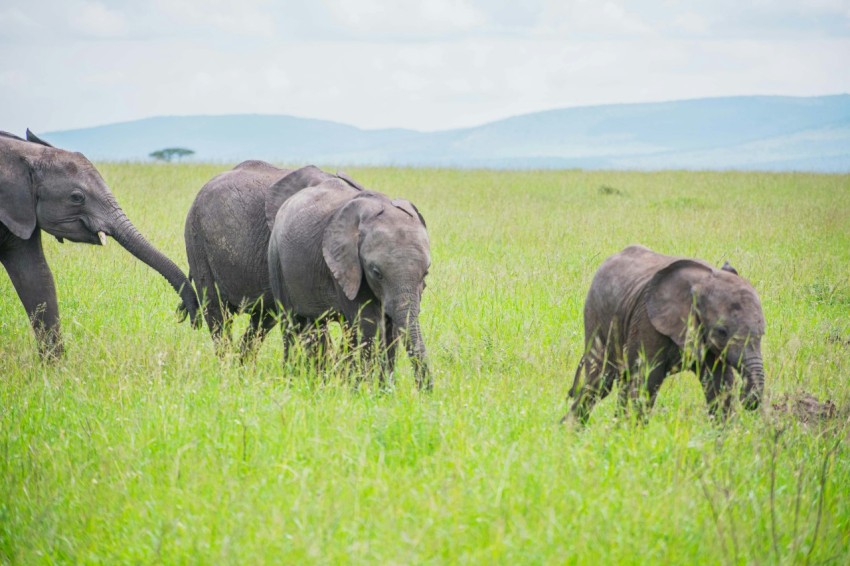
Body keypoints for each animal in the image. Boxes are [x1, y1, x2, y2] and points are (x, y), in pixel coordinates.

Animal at [0, 130, 200, 358]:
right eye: (76, 197)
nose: (187, 314)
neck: (26, 153)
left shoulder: (20, 212)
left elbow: (36, 276)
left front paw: (56, 367)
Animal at [268, 176, 430, 390]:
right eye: (376, 273)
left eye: (426, 273)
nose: (426, 392)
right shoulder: (347, 264)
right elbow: (370, 325)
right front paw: (364, 390)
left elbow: (391, 329)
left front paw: (384, 390)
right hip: (276, 260)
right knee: (291, 324)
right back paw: (292, 379)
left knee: (317, 326)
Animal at [560, 245, 764, 426]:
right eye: (722, 332)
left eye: (763, 332)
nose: (748, 400)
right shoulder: (647, 321)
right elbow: (648, 380)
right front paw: (633, 435)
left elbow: (719, 384)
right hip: (597, 315)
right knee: (600, 381)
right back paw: (569, 431)